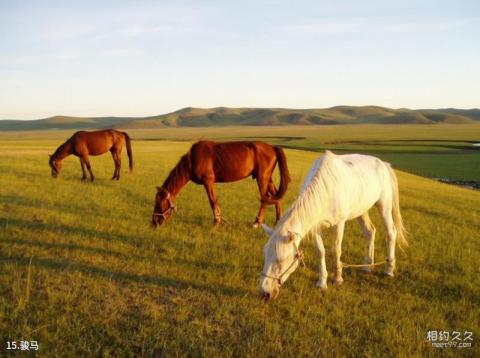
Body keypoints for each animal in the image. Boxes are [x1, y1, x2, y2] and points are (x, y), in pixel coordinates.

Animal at [152, 140, 290, 227]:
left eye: (159, 203)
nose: (154, 222)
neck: (192, 161)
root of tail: (273, 147)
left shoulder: (208, 181)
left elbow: (212, 201)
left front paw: (216, 222)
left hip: (262, 178)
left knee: (265, 198)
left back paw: (257, 222)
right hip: (268, 178)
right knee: (276, 197)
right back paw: (278, 221)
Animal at [258, 150, 404, 300]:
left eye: (280, 260)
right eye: (265, 255)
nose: (265, 293)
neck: (326, 190)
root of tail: (384, 164)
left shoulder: (339, 224)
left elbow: (336, 250)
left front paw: (338, 278)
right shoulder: (315, 227)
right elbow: (320, 252)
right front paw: (322, 282)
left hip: (384, 207)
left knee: (391, 232)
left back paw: (389, 269)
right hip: (361, 211)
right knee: (370, 232)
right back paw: (367, 266)